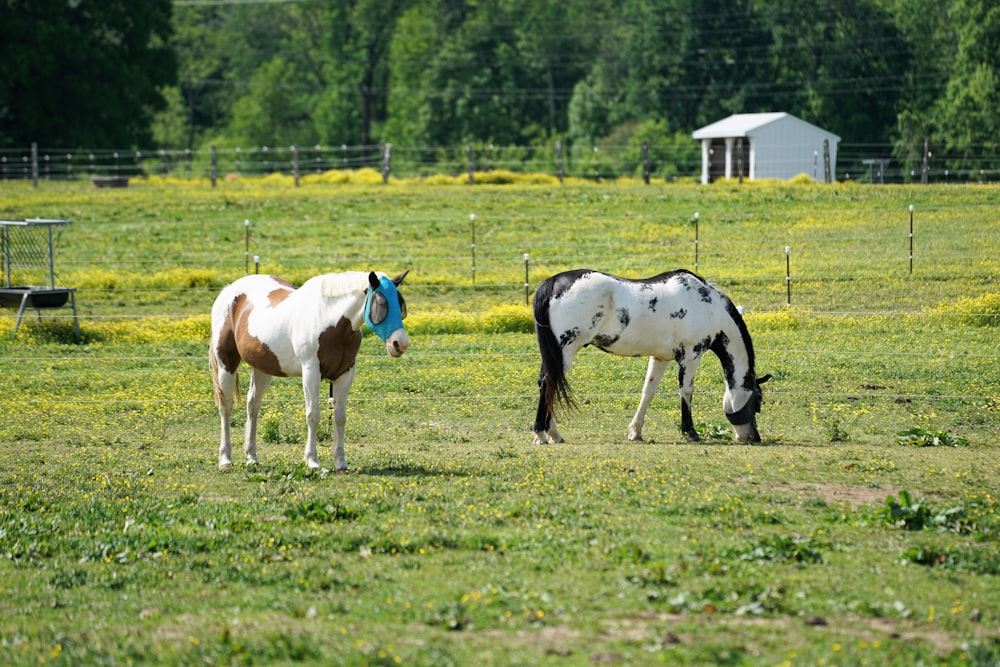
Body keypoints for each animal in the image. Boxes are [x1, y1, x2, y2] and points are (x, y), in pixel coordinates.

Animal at [209, 270, 408, 470]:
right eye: (382, 303)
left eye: (400, 304)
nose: (400, 344)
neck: (329, 320)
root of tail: (228, 291)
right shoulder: (311, 372)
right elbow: (313, 415)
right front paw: (312, 461)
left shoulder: (345, 374)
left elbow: (340, 417)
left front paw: (341, 463)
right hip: (227, 364)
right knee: (225, 407)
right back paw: (225, 459)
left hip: (262, 368)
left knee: (253, 405)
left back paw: (252, 457)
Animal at [536, 268, 768, 446]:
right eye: (757, 401)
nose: (753, 437)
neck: (707, 306)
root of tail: (553, 282)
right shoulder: (690, 356)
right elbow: (686, 392)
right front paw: (690, 432)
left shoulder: (660, 358)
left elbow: (648, 392)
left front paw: (635, 432)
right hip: (565, 351)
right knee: (550, 384)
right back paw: (545, 433)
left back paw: (549, 434)